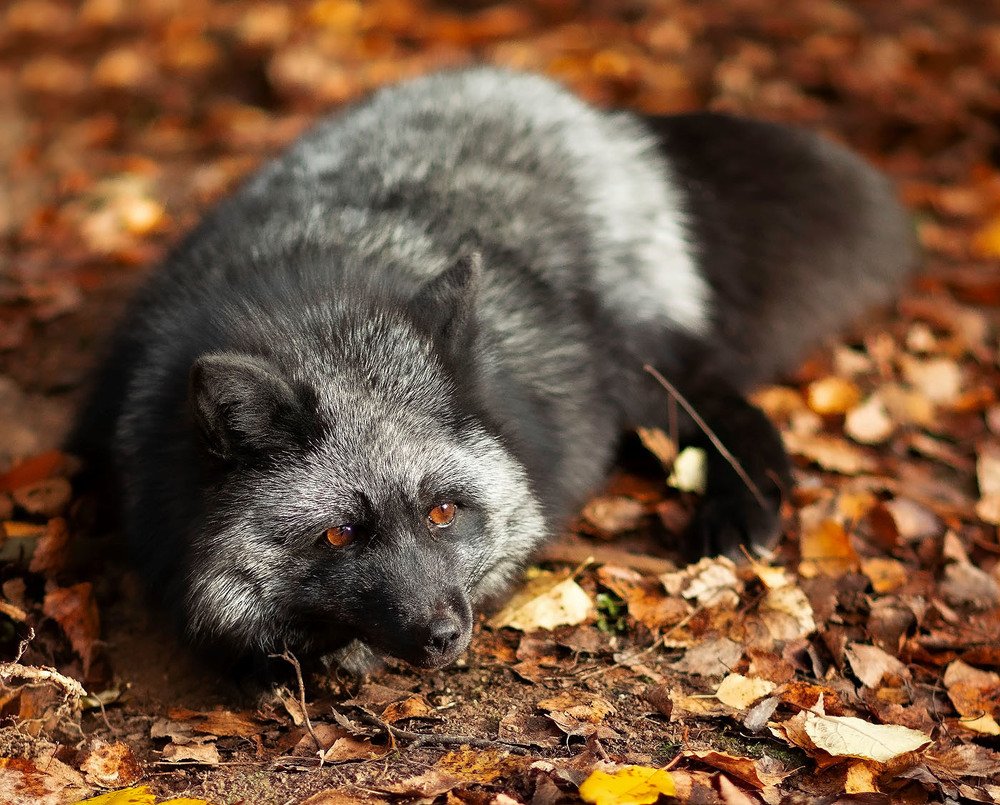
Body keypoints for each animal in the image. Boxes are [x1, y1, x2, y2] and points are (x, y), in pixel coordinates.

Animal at [69, 68, 917, 672]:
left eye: (444, 511)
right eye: (338, 535)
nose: (444, 634)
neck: (314, 309)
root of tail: (603, 118)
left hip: (641, 374)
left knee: (733, 408)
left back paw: (743, 508)